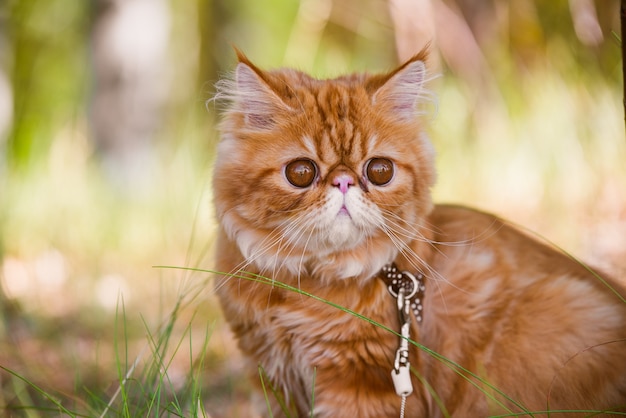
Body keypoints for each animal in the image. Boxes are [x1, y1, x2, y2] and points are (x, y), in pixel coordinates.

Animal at [211, 49, 624, 418]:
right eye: (300, 172)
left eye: (379, 171)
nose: (344, 182)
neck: (303, 288)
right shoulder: (270, 376)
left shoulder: (363, 384)